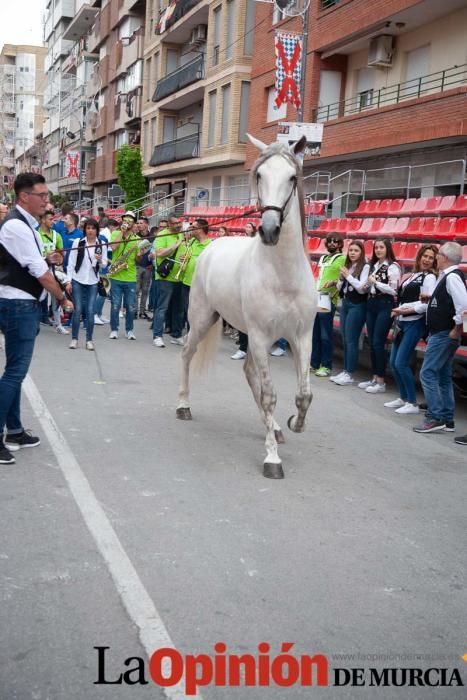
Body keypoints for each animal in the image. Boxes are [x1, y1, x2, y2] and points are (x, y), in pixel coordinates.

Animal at [176, 134, 318, 478]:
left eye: (292, 177)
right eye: (259, 175)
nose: (268, 230)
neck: (283, 275)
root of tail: (211, 245)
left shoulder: (301, 337)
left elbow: (304, 394)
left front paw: (294, 424)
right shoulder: (260, 335)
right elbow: (269, 395)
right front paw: (272, 458)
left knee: (249, 372)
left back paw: (276, 427)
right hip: (204, 319)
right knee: (187, 353)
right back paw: (184, 406)